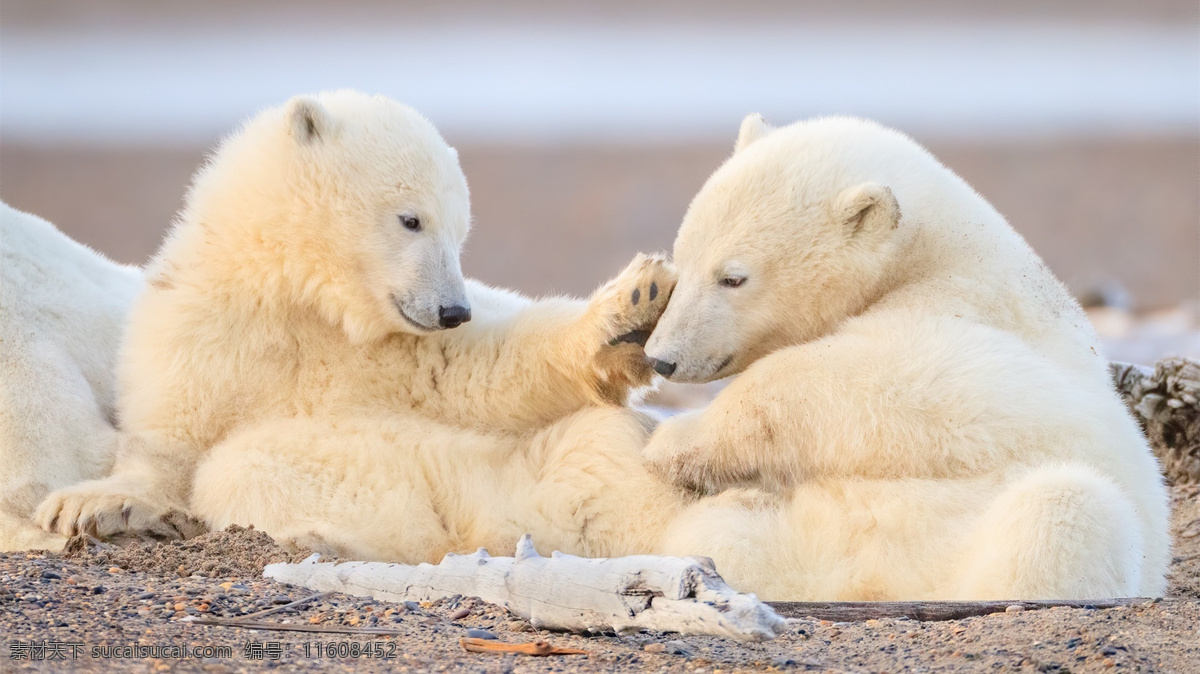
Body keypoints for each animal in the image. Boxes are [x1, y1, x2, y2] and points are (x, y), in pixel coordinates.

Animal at [34, 90, 687, 559]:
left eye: (460, 232)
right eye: (411, 219)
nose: (455, 310)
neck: (305, 302)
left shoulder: (392, 353)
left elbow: (482, 375)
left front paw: (634, 307)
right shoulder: (207, 329)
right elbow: (172, 442)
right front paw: (84, 507)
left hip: (545, 463)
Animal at [642, 114, 1170, 599]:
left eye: (732, 277)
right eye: (681, 261)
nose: (661, 359)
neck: (933, 257)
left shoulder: (978, 325)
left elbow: (889, 377)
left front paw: (670, 442)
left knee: (1066, 507)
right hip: (803, 534)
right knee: (727, 531)